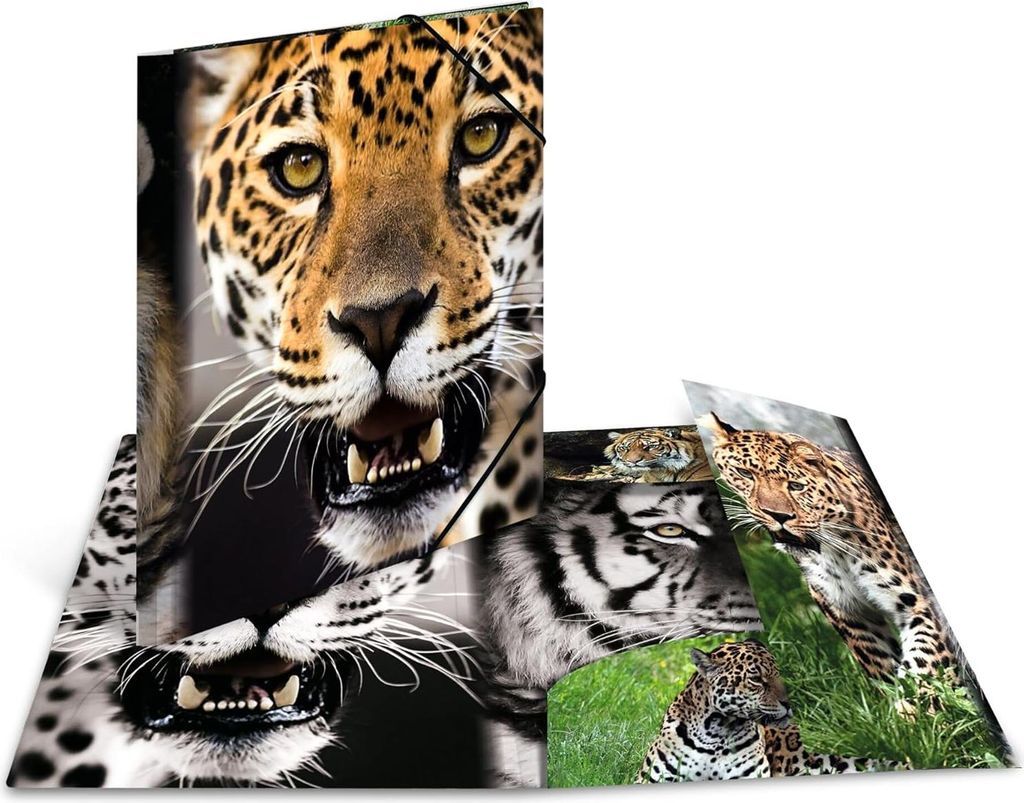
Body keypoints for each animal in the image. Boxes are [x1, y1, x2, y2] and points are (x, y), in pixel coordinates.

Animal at [698, 412, 958, 682]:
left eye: (796, 486)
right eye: (745, 473)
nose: (778, 516)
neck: (835, 551)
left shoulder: (917, 603)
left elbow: (927, 661)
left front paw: (922, 693)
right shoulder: (845, 609)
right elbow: (878, 661)